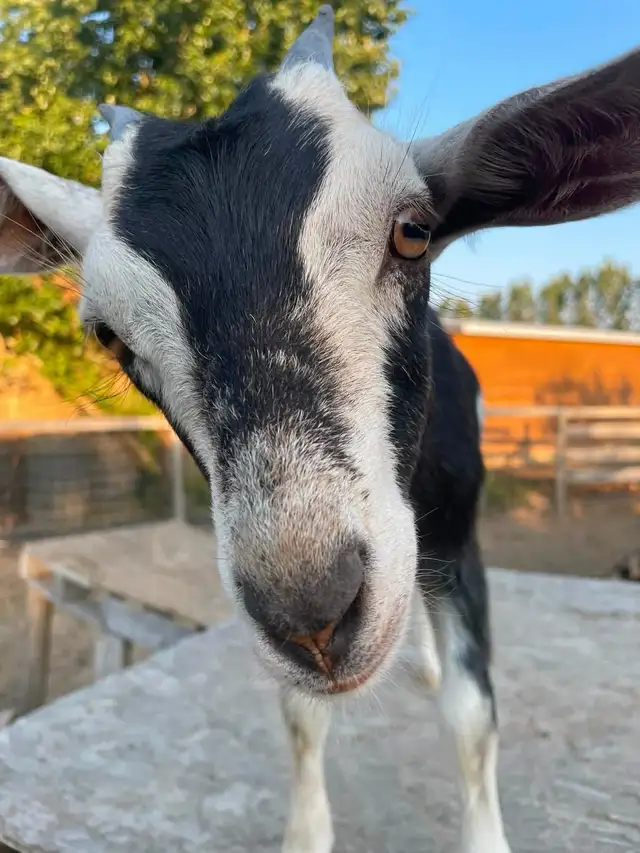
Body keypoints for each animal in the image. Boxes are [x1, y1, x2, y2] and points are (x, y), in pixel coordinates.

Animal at [0, 8, 638, 851]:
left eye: (413, 230)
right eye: (107, 335)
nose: (315, 616)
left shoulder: (460, 536)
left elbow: (473, 714)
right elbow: (302, 715)